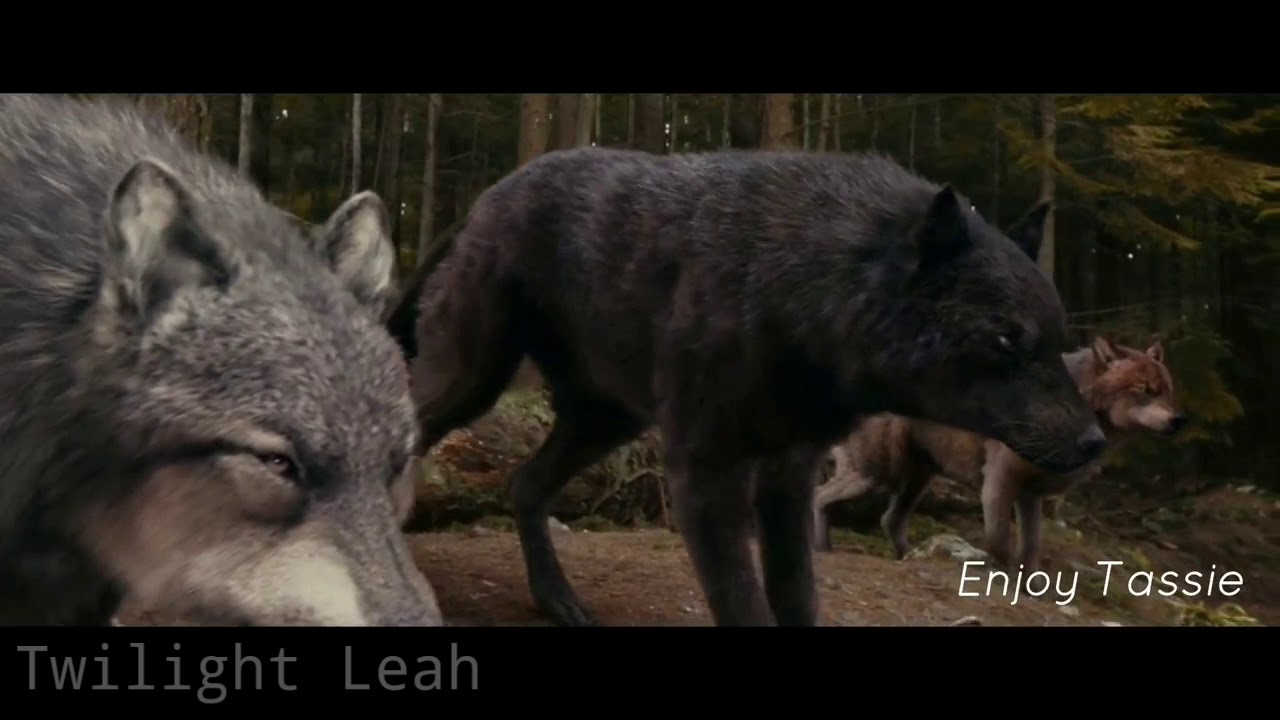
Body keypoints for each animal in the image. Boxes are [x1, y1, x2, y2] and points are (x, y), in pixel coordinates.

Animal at [401, 146, 1107, 627]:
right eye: (1007, 340)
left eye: (1055, 342)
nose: (1095, 443)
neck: (807, 297)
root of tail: (491, 191)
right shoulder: (707, 475)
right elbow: (744, 605)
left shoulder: (787, 477)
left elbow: (797, 599)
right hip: (475, 378)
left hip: (609, 419)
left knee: (523, 483)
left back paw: (559, 601)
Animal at [812, 336, 1186, 572]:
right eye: (1143, 389)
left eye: (1168, 391)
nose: (1179, 420)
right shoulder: (999, 482)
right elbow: (999, 541)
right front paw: (1004, 576)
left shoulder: (1031, 496)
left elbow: (1030, 547)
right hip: (877, 475)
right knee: (819, 497)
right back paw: (820, 547)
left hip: (916, 480)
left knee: (888, 519)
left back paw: (909, 556)